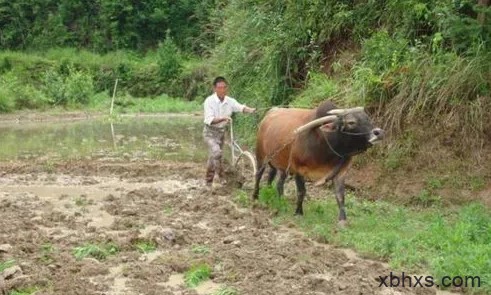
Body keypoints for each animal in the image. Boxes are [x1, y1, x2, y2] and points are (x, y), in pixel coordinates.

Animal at [254, 100, 384, 225]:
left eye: (367, 118)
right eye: (351, 122)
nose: (379, 133)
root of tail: (269, 114)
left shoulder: (340, 172)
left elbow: (340, 196)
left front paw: (342, 220)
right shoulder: (299, 169)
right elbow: (301, 192)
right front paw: (298, 213)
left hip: (280, 164)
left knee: (276, 181)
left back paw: (278, 199)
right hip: (260, 156)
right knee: (258, 175)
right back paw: (255, 196)